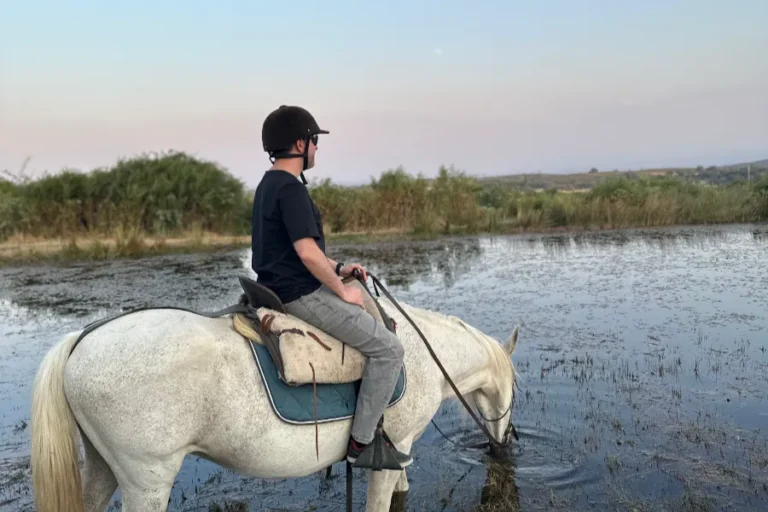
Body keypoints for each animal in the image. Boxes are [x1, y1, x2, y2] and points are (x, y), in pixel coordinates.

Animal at [30, 294, 519, 512]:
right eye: (515, 387)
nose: (506, 445)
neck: (422, 353)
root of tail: (80, 342)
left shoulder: (399, 454)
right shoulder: (390, 451)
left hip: (102, 467)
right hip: (146, 480)